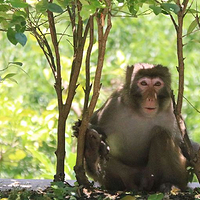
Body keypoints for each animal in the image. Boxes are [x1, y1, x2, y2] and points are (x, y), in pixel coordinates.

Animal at [80, 63, 198, 191]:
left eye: (157, 84)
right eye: (144, 83)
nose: (151, 98)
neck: (141, 114)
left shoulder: (172, 113)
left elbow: (184, 144)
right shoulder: (112, 105)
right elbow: (92, 123)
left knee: (161, 135)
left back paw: (171, 184)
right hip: (125, 176)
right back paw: (92, 154)